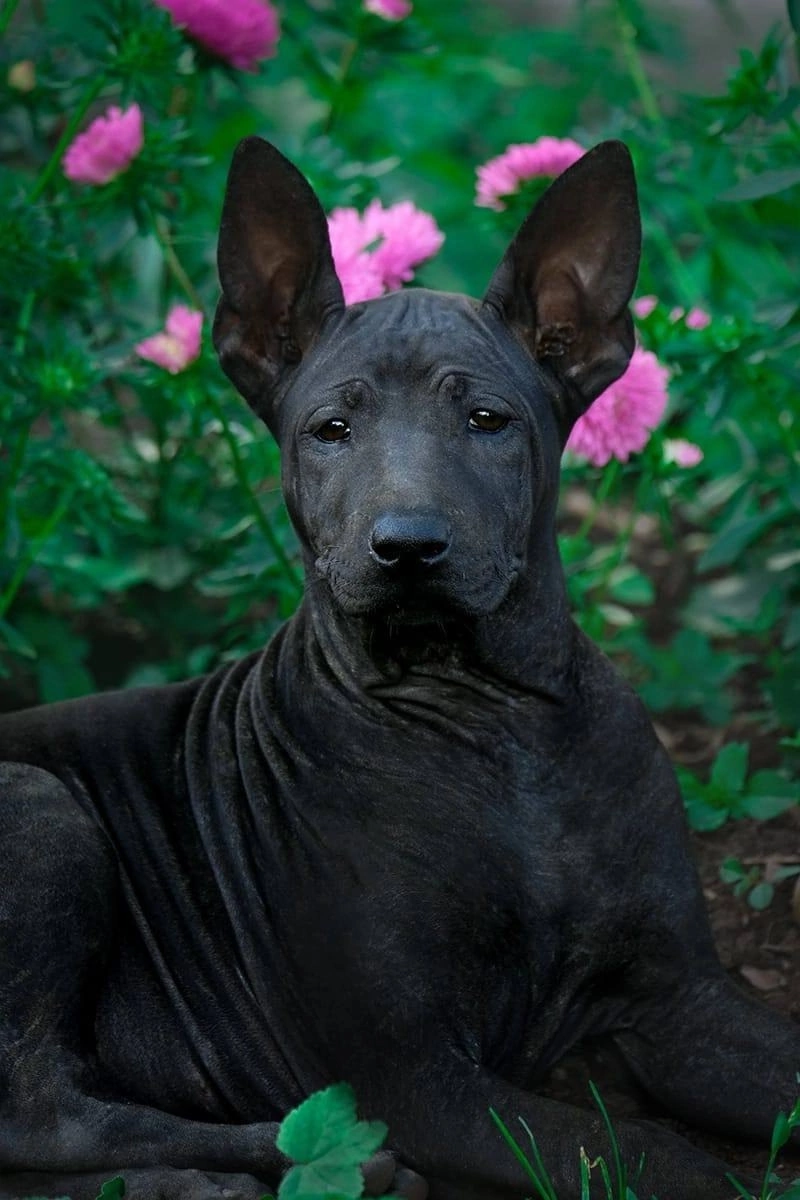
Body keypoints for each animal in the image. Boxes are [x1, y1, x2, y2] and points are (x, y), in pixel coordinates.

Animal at [1, 136, 800, 1195]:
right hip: (42, 807)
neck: (494, 721)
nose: (408, 546)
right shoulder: (413, 1072)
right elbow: (633, 1149)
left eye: (489, 421)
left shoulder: (678, 1001)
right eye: (330, 431)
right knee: (45, 1118)